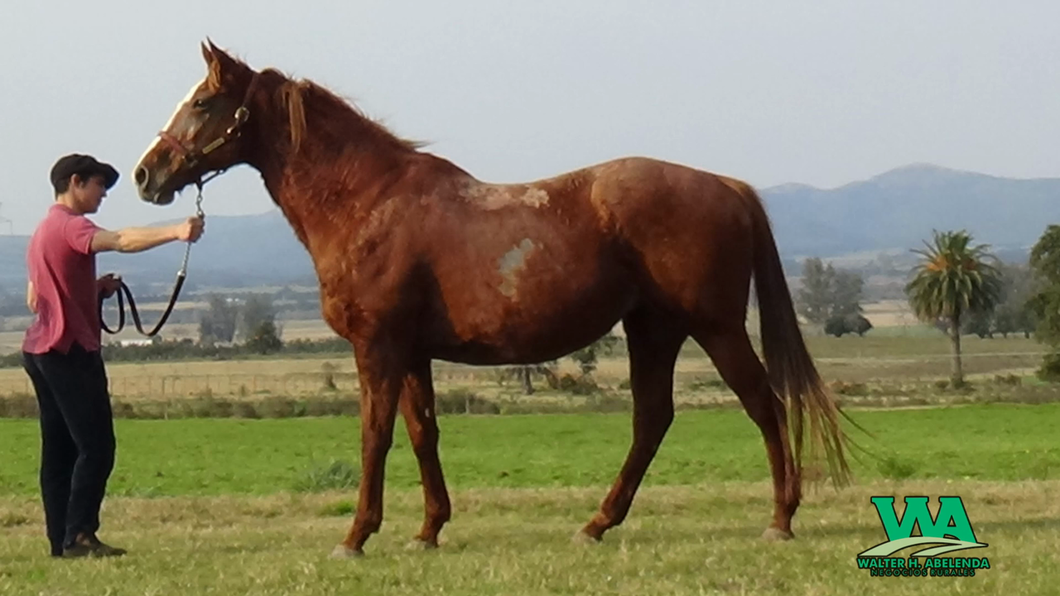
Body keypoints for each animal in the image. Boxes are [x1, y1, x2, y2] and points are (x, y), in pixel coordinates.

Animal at [132, 42, 847, 555]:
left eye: (204, 101)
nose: (145, 175)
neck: (369, 202)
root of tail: (728, 186)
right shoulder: (412, 353)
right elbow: (423, 433)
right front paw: (428, 530)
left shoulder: (378, 347)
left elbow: (374, 436)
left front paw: (357, 536)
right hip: (653, 329)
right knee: (652, 421)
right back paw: (596, 524)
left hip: (715, 326)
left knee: (763, 405)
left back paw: (780, 518)